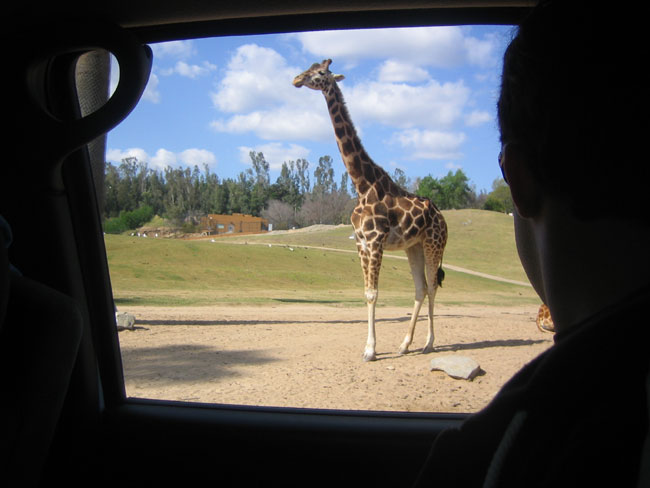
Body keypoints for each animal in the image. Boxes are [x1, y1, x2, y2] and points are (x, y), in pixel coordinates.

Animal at [292, 59, 446, 360]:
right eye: (309, 67)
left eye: (320, 73)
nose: (296, 79)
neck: (361, 184)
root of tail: (444, 220)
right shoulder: (361, 242)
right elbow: (366, 293)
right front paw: (369, 348)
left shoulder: (375, 241)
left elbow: (374, 293)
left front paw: (371, 351)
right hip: (414, 246)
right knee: (420, 287)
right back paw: (404, 345)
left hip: (434, 244)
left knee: (433, 285)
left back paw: (430, 343)